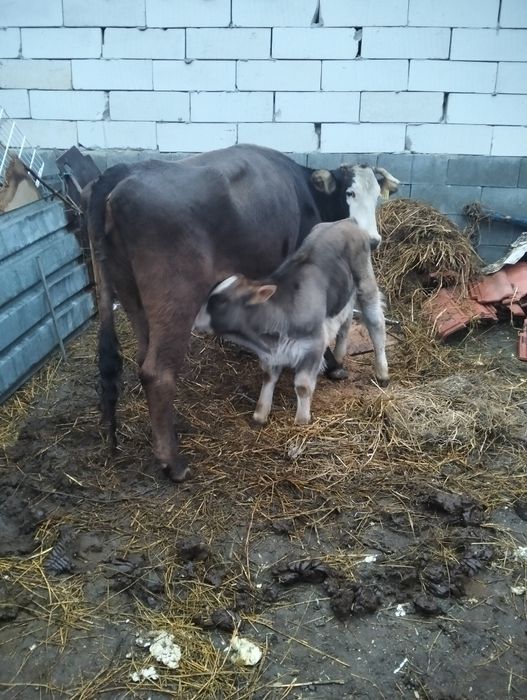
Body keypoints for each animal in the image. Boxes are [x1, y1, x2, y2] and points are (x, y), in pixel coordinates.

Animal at [196, 166, 389, 426]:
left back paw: (382, 372)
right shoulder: (272, 354)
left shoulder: (313, 346)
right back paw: (339, 358)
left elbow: (303, 386)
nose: (194, 318)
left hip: (365, 282)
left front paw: (302, 420)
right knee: (345, 322)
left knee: (375, 323)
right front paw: (260, 414)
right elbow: (268, 378)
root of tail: (346, 221)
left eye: (221, 301)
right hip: (343, 296)